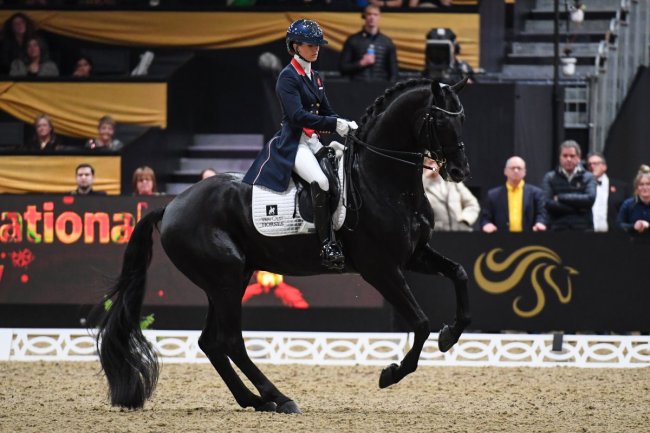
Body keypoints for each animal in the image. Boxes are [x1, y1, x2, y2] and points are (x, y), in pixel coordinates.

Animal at [96, 78, 472, 414]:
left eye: (463, 118)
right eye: (440, 120)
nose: (459, 171)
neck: (381, 180)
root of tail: (172, 205)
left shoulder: (413, 256)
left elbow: (460, 274)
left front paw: (450, 335)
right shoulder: (381, 268)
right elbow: (420, 322)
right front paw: (390, 374)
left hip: (231, 278)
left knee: (211, 342)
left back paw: (255, 400)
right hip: (225, 279)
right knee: (230, 340)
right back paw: (279, 397)